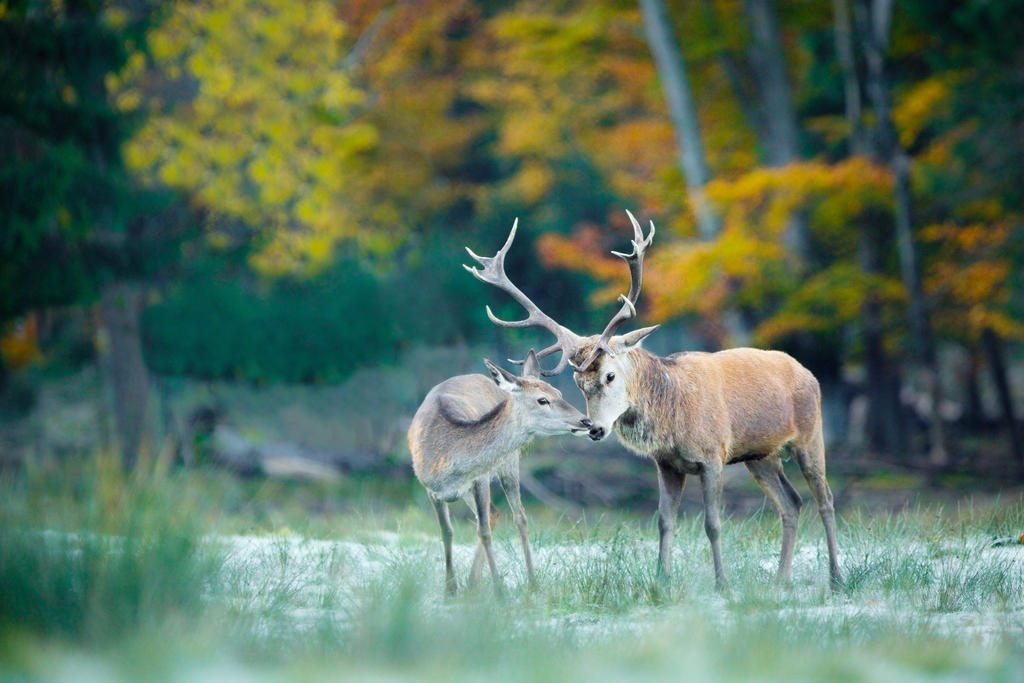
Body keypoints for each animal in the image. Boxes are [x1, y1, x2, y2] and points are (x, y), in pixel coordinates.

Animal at [405, 350, 585, 593]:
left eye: (559, 393)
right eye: (542, 399)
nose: (586, 421)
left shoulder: (480, 478)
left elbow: (483, 532)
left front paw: (499, 590)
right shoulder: (430, 489)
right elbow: (447, 532)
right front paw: (450, 590)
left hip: (509, 462)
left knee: (519, 517)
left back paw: (531, 582)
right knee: (494, 513)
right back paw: (473, 582)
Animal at [468, 215, 843, 593]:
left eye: (610, 375)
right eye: (578, 384)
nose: (595, 429)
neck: (674, 417)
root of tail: (807, 373)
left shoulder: (713, 455)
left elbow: (713, 523)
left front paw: (721, 583)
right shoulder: (667, 464)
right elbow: (664, 521)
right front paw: (661, 580)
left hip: (810, 435)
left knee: (825, 500)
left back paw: (836, 576)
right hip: (760, 455)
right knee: (791, 503)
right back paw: (782, 578)